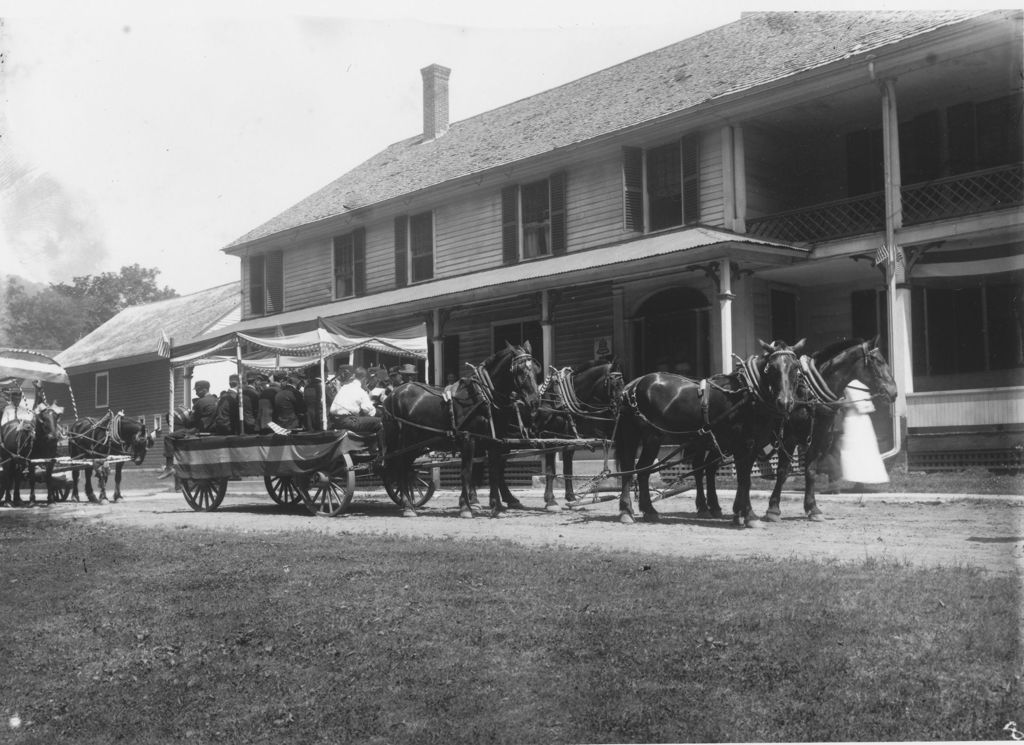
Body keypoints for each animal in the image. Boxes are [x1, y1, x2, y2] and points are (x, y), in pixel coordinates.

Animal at [382, 341, 544, 517]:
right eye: (519, 370)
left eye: (536, 370)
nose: (535, 401)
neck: (483, 396)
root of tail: (393, 394)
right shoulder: (468, 439)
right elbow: (467, 472)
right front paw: (466, 507)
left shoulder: (494, 442)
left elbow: (494, 472)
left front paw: (497, 507)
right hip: (404, 442)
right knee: (401, 468)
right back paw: (408, 506)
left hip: (415, 444)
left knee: (406, 469)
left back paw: (408, 504)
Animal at [536, 356, 622, 509]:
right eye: (614, 384)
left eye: (622, 382)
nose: (620, 407)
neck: (559, 401)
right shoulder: (549, 436)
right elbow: (550, 470)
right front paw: (550, 500)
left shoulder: (568, 439)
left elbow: (568, 469)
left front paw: (571, 497)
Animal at [610, 339, 802, 528]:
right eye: (772, 368)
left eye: (795, 368)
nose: (785, 402)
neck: (748, 394)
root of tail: (632, 385)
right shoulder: (741, 446)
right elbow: (744, 480)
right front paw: (749, 515)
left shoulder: (753, 447)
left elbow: (743, 478)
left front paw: (740, 513)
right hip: (643, 436)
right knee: (632, 469)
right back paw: (627, 511)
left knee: (643, 470)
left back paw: (649, 510)